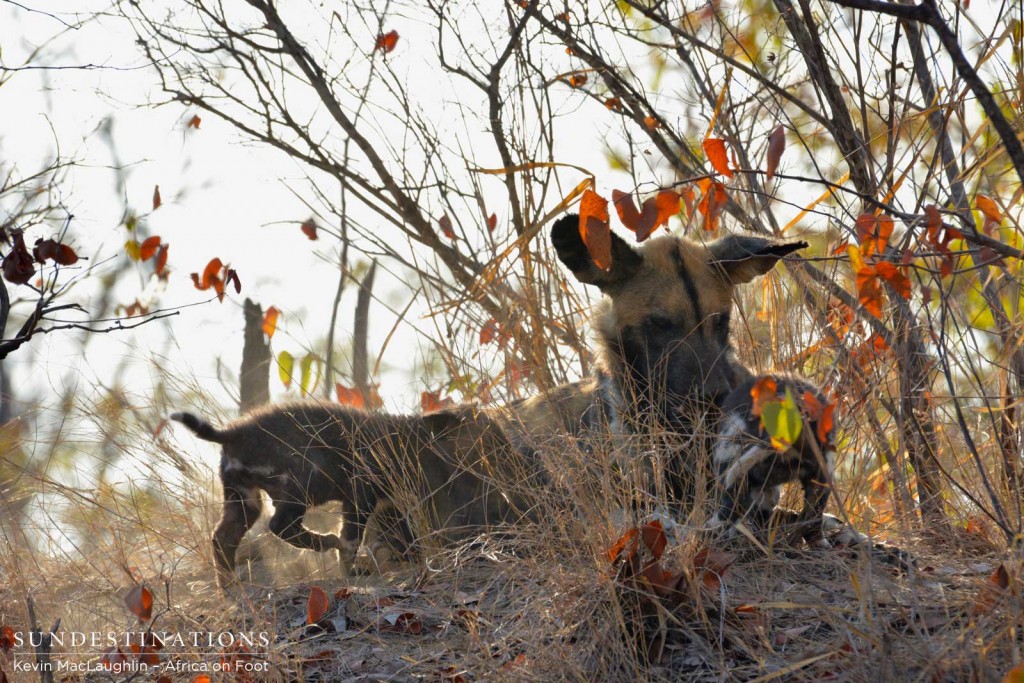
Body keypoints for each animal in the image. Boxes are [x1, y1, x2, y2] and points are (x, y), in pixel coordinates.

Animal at [168, 401, 532, 589]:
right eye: (490, 436)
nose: (514, 453)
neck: (411, 443)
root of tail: (231, 433)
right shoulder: (361, 494)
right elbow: (352, 535)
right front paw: (353, 568)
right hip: (299, 485)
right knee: (280, 526)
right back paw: (324, 542)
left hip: (244, 500)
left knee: (222, 539)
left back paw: (230, 588)